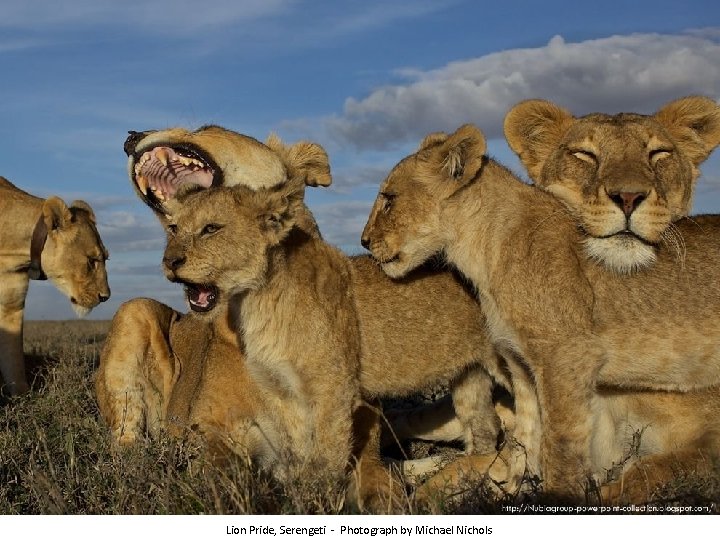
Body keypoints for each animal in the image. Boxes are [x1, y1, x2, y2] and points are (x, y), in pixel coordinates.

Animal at [0, 177, 111, 396]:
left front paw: (23, 396)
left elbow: (13, 358)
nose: (106, 296)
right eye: (92, 260)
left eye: (106, 258)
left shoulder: (12, 306)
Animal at [360, 122, 720, 498]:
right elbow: (525, 441)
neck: (482, 250)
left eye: (389, 199)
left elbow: (560, 447)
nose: (364, 241)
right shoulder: (520, 363)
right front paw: (509, 488)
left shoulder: (569, 357)